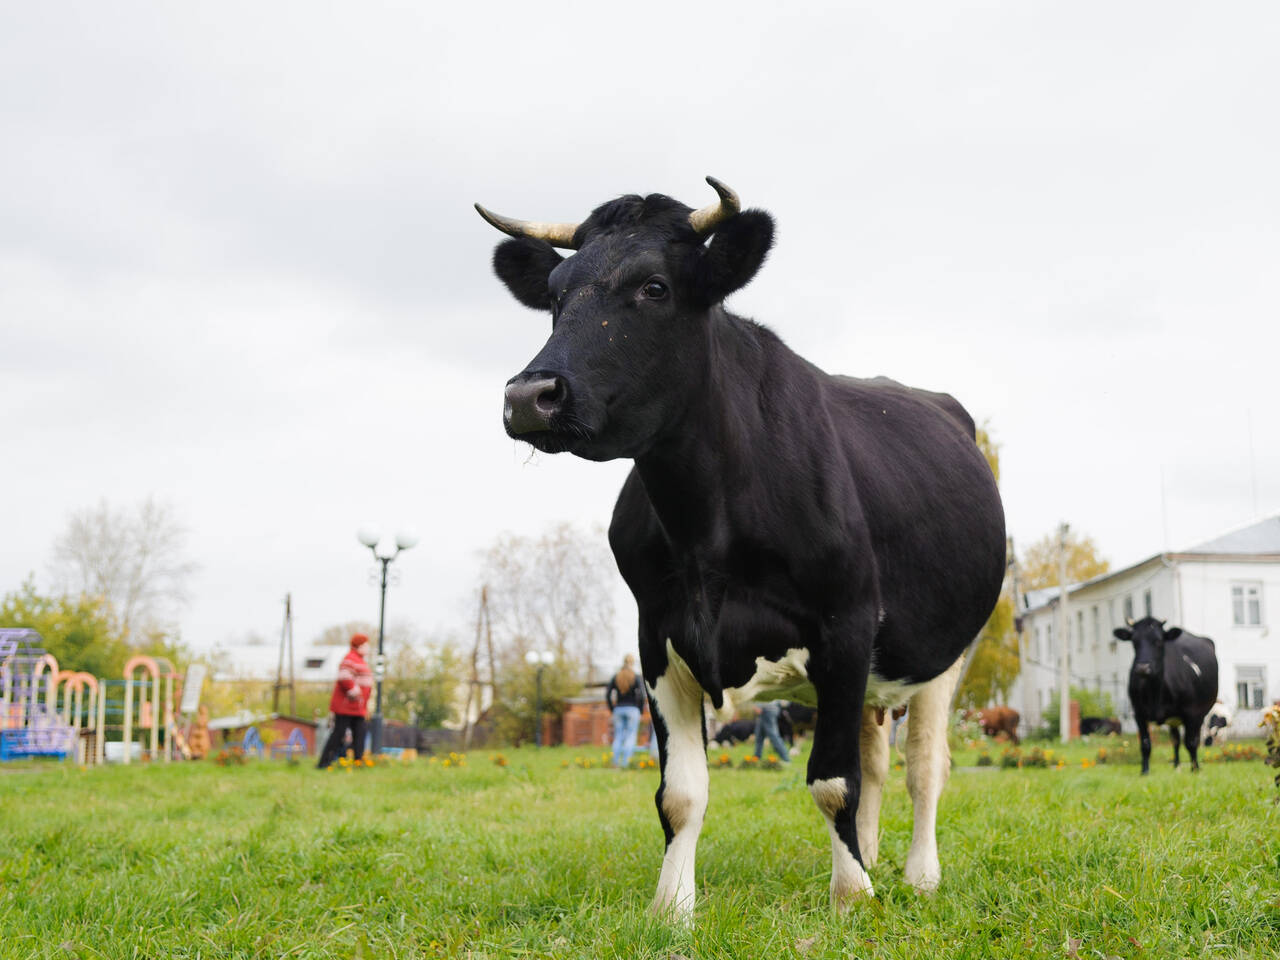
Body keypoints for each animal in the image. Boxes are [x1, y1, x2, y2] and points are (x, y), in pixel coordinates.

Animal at [481, 179, 1008, 916]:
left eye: (654, 286)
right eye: (555, 294)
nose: (530, 396)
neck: (707, 528)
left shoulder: (846, 625)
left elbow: (831, 781)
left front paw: (850, 897)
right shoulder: (657, 639)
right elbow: (680, 794)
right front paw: (672, 908)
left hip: (946, 654)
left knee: (924, 767)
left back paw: (917, 875)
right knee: (877, 758)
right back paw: (874, 854)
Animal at [1111, 619, 1218, 778]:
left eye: (1159, 641)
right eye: (1134, 641)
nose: (1142, 667)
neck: (1155, 692)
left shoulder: (1192, 713)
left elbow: (1191, 742)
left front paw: (1195, 769)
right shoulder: (1138, 713)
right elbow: (1145, 744)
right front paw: (1144, 771)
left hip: (1200, 715)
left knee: (1193, 739)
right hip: (1173, 720)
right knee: (1175, 740)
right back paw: (1176, 766)